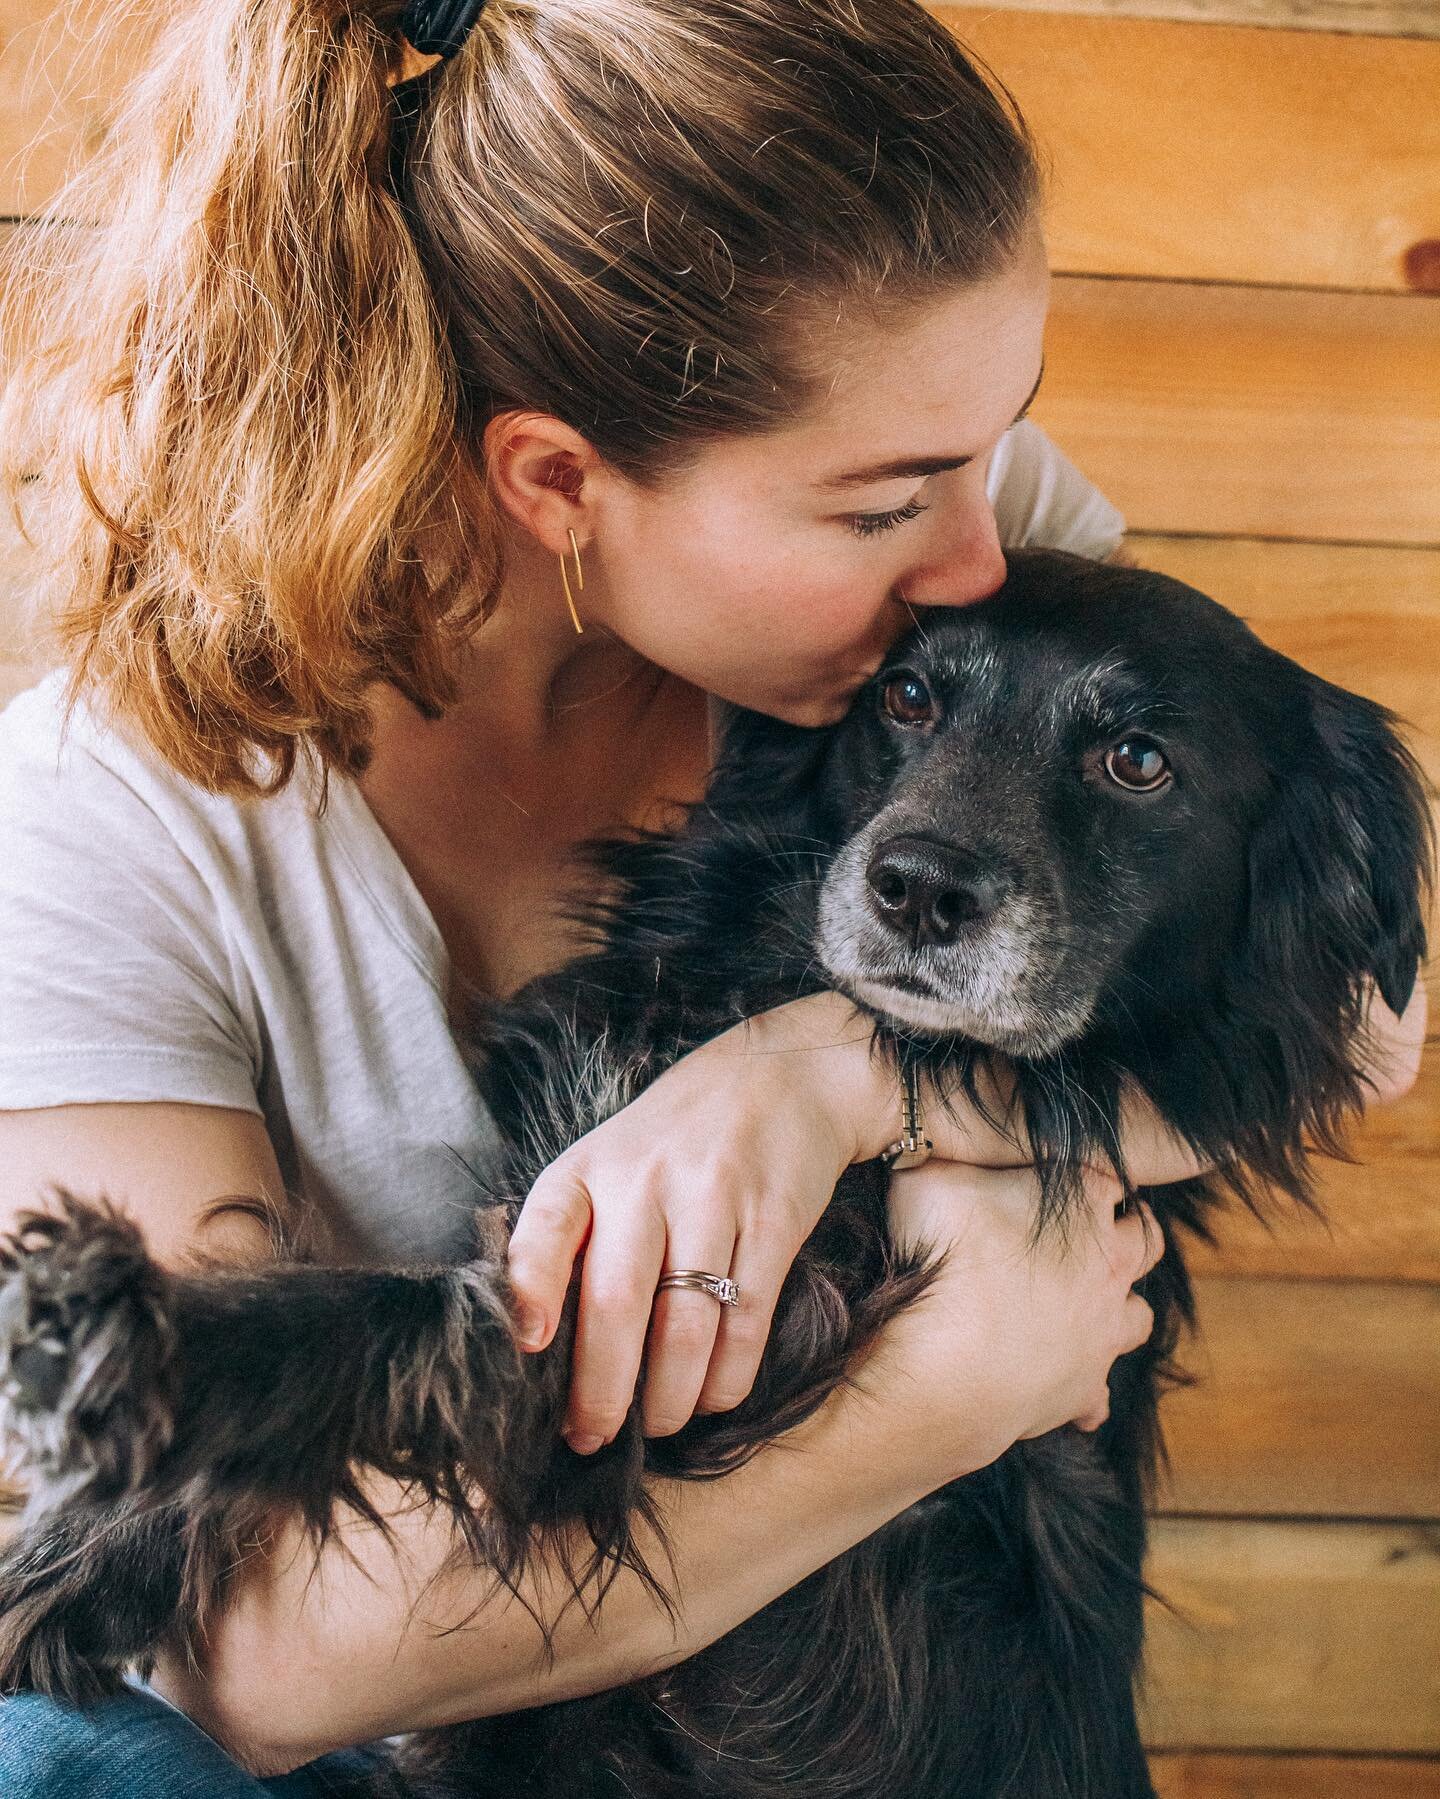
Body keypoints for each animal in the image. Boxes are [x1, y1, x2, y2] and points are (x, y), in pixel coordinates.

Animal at [0, 546, 1425, 1799]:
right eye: (906, 698)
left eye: (1137, 761)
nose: (917, 886)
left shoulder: (686, 1342)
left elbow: (392, 1314)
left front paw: (114, 1347)